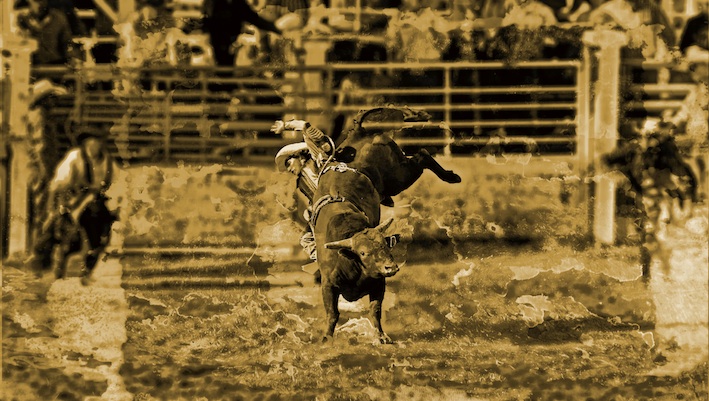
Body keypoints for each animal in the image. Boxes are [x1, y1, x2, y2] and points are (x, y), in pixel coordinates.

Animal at [272, 105, 460, 340]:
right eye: (363, 252)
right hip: (396, 178)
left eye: (385, 246)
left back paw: (450, 175)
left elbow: (375, 310)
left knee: (422, 155)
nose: (391, 267)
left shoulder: (379, 283)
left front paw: (381, 337)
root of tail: (359, 133)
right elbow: (333, 313)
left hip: (398, 175)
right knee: (420, 156)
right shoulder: (329, 286)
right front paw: (327, 337)